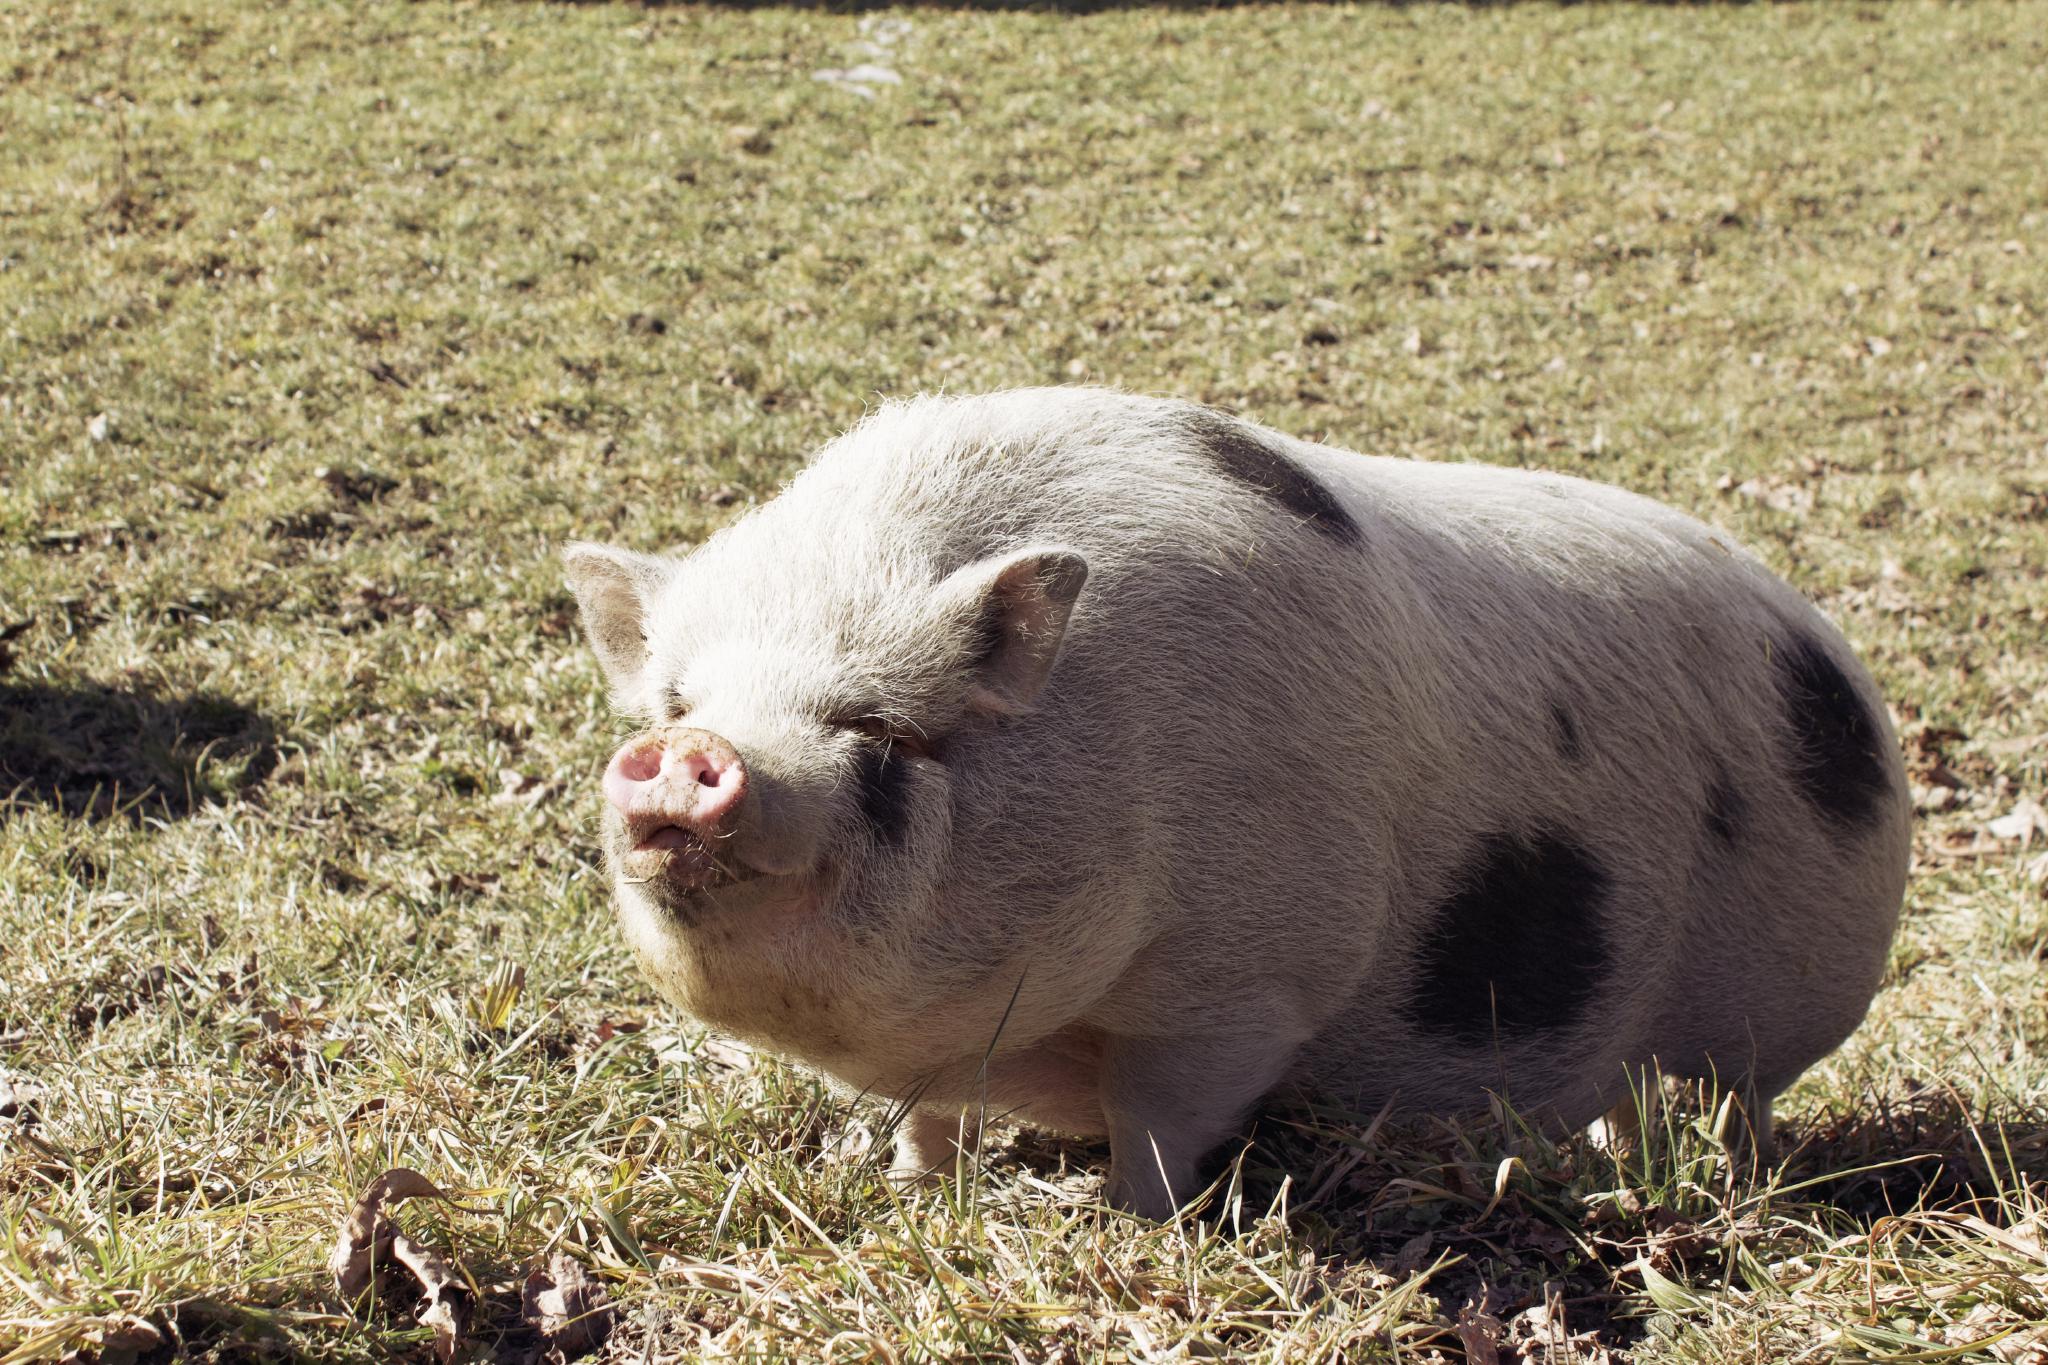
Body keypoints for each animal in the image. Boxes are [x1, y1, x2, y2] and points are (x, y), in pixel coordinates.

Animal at [564, 387, 1909, 1220]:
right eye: (675, 696)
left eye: (883, 731)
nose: (689, 751)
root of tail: (1834, 652)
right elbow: (928, 1121)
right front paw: (909, 1194)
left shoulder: (1251, 982)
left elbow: (1163, 1120)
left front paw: (1129, 1223)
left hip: (1782, 1002)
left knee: (1740, 1107)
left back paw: (1721, 1186)